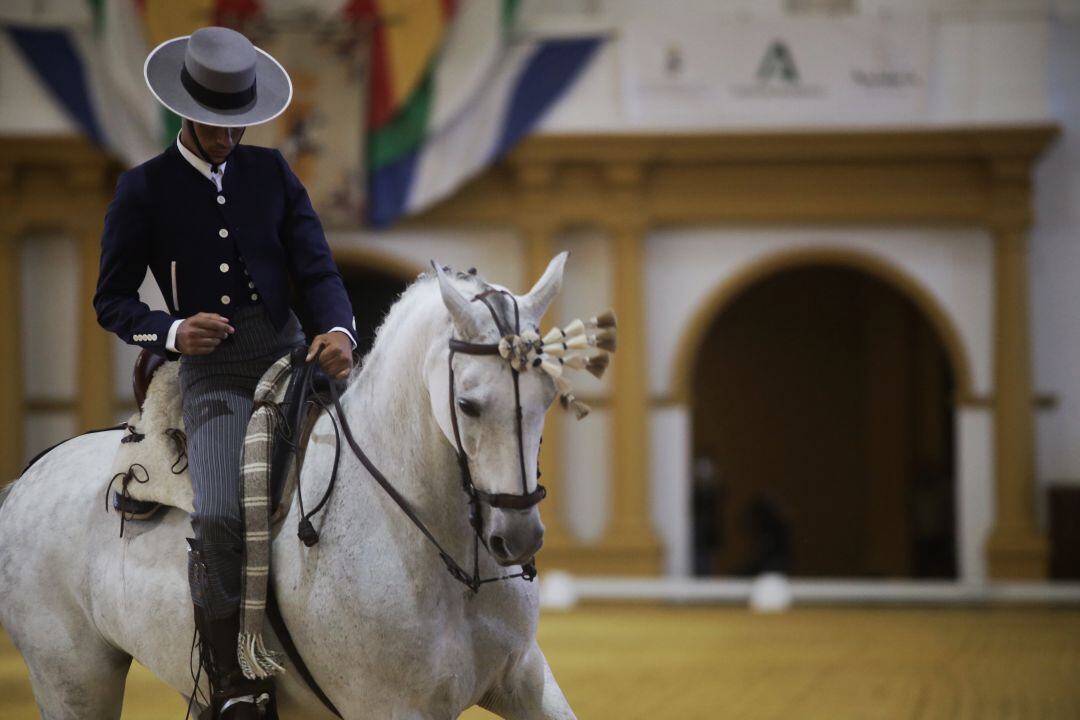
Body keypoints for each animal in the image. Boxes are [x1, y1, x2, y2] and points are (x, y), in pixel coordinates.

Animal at [0, 255, 578, 716]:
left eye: (548, 394)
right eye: (468, 404)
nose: (519, 537)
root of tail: (27, 478)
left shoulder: (526, 678)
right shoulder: (390, 707)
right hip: (73, 682)